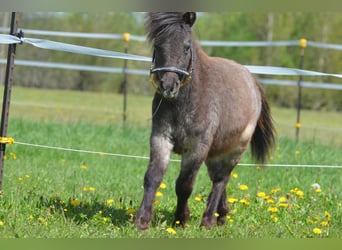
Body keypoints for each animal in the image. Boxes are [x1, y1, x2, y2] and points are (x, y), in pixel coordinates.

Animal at [134, 12, 276, 230]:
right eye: (157, 45)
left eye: (186, 46)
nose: (168, 85)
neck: (185, 102)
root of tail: (252, 81)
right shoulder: (161, 138)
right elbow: (153, 177)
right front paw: (142, 220)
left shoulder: (197, 147)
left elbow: (184, 185)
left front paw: (180, 219)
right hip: (215, 152)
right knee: (219, 178)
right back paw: (222, 215)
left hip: (236, 149)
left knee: (220, 179)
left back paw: (208, 220)